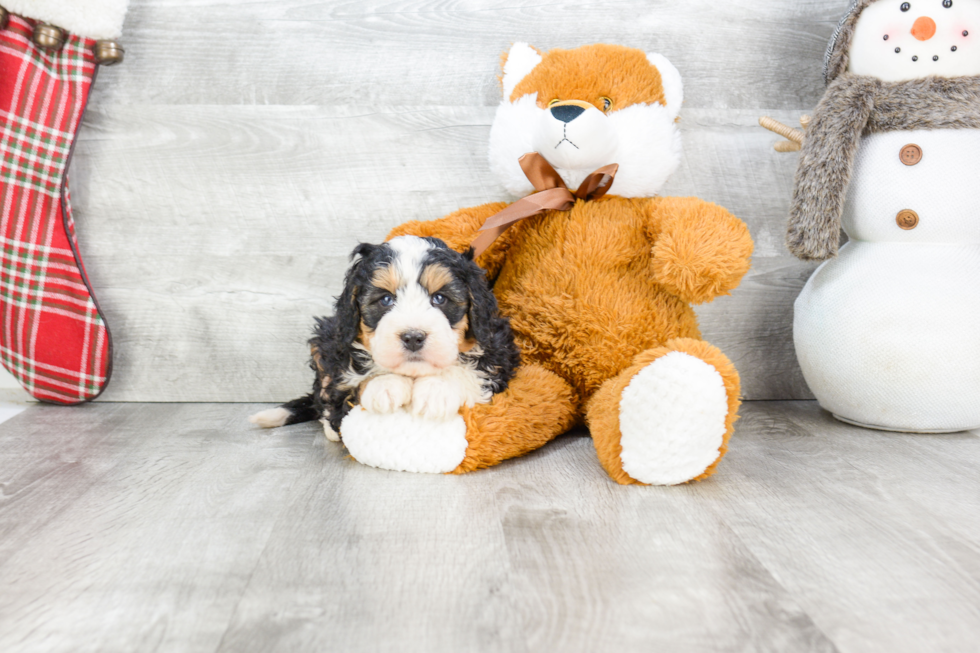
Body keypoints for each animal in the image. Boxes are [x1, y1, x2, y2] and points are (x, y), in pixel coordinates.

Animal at [249, 234, 516, 438]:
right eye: (386, 299)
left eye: (439, 298)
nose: (413, 337)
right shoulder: (336, 366)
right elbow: (353, 385)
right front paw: (384, 386)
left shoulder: (499, 353)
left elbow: (471, 371)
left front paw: (436, 391)